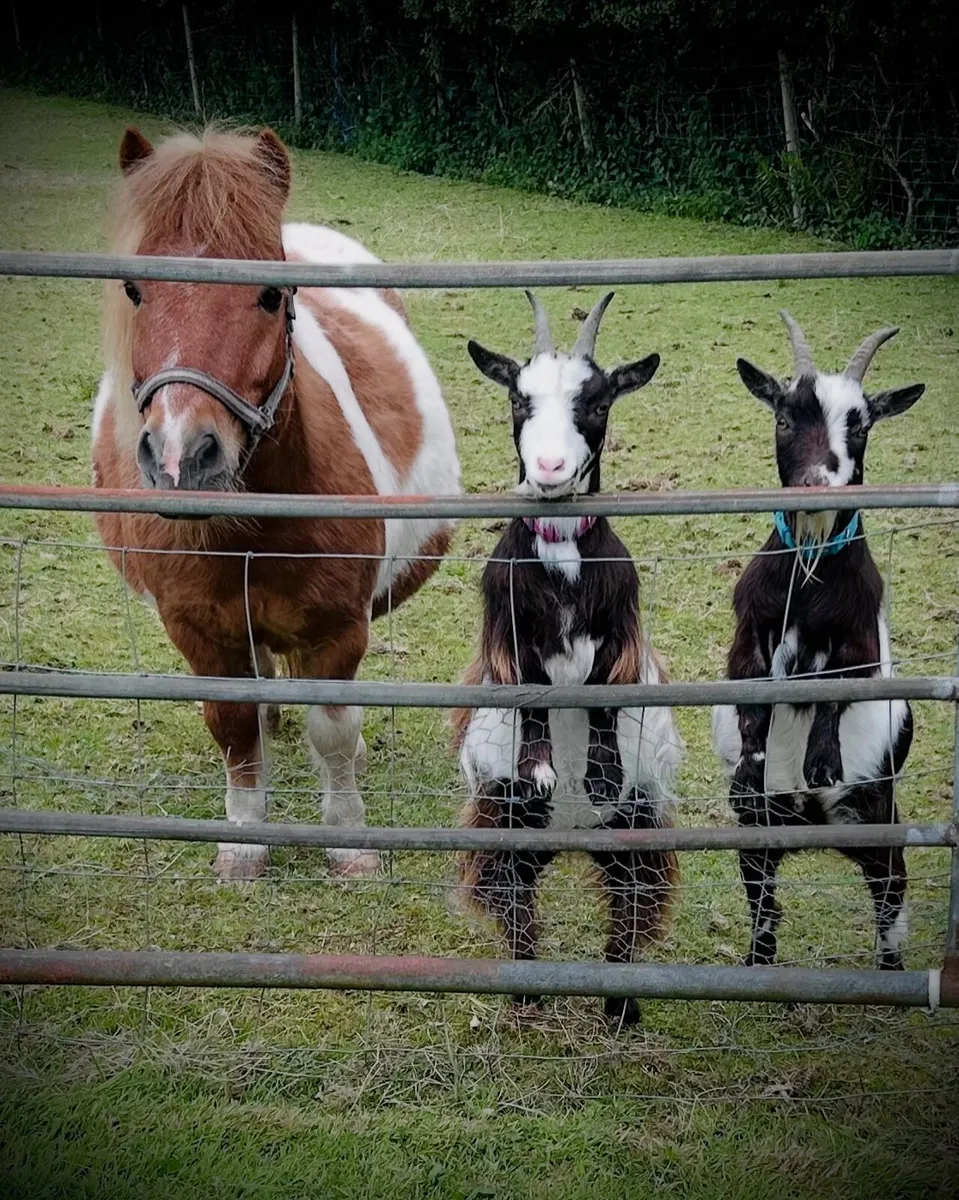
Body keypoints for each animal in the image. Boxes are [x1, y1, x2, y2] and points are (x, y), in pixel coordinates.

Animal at [452, 291, 683, 1027]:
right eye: (517, 398)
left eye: (598, 401)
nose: (550, 471)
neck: (561, 557)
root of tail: (574, 832)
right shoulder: (508, 633)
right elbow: (530, 691)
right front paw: (541, 767)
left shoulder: (620, 630)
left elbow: (604, 690)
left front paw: (600, 773)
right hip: (510, 829)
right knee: (513, 901)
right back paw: (526, 993)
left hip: (635, 832)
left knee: (632, 907)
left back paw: (619, 1008)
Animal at [713, 311, 925, 970]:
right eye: (783, 417)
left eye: (861, 422)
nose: (817, 482)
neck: (808, 580)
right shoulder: (749, 634)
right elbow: (753, 697)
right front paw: (751, 768)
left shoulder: (861, 640)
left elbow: (839, 685)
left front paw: (821, 761)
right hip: (761, 839)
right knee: (764, 908)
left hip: (876, 824)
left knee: (891, 898)